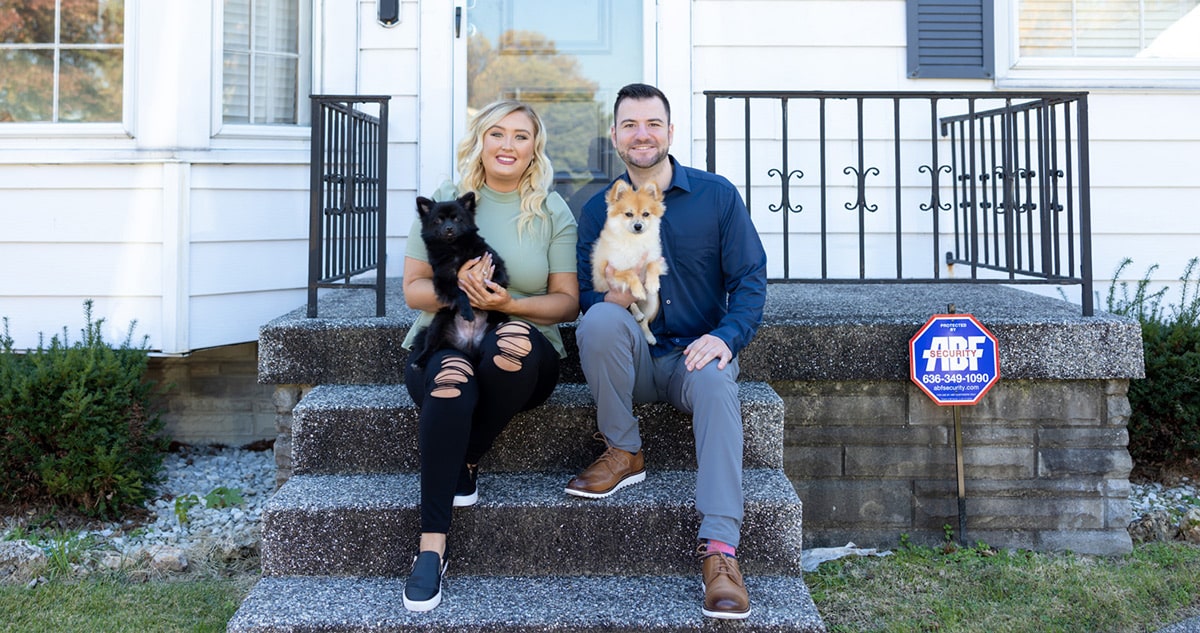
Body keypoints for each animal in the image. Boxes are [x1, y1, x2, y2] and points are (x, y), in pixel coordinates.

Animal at [410, 193, 508, 371]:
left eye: (457, 219)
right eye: (438, 220)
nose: (449, 228)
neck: (455, 247)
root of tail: (468, 345)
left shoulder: (492, 260)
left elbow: (498, 278)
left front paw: (489, 293)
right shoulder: (444, 279)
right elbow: (459, 292)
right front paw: (468, 311)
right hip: (439, 321)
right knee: (431, 345)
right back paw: (419, 361)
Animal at [595, 181, 672, 342]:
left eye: (646, 214)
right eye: (628, 214)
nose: (638, 226)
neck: (634, 241)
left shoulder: (656, 258)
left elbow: (652, 264)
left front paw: (652, 283)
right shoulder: (610, 269)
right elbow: (629, 273)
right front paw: (638, 289)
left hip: (653, 303)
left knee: (645, 322)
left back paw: (649, 336)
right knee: (631, 305)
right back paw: (637, 312)